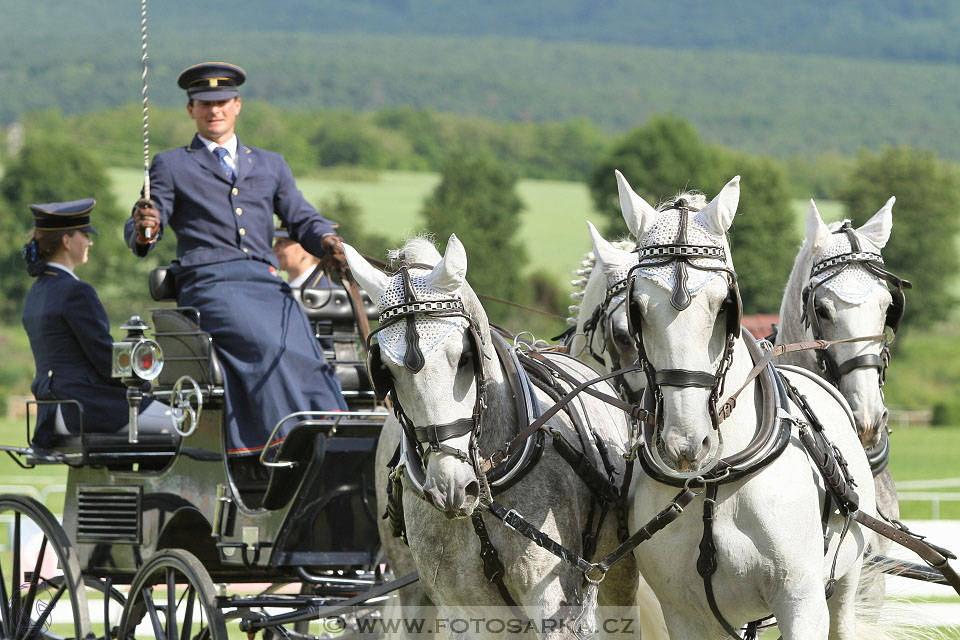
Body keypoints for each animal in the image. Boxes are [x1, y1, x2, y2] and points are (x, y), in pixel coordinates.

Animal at [596, 171, 880, 640]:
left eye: (724, 305)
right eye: (636, 308)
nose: (686, 443)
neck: (715, 481)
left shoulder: (802, 603)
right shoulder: (684, 614)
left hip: (844, 581)